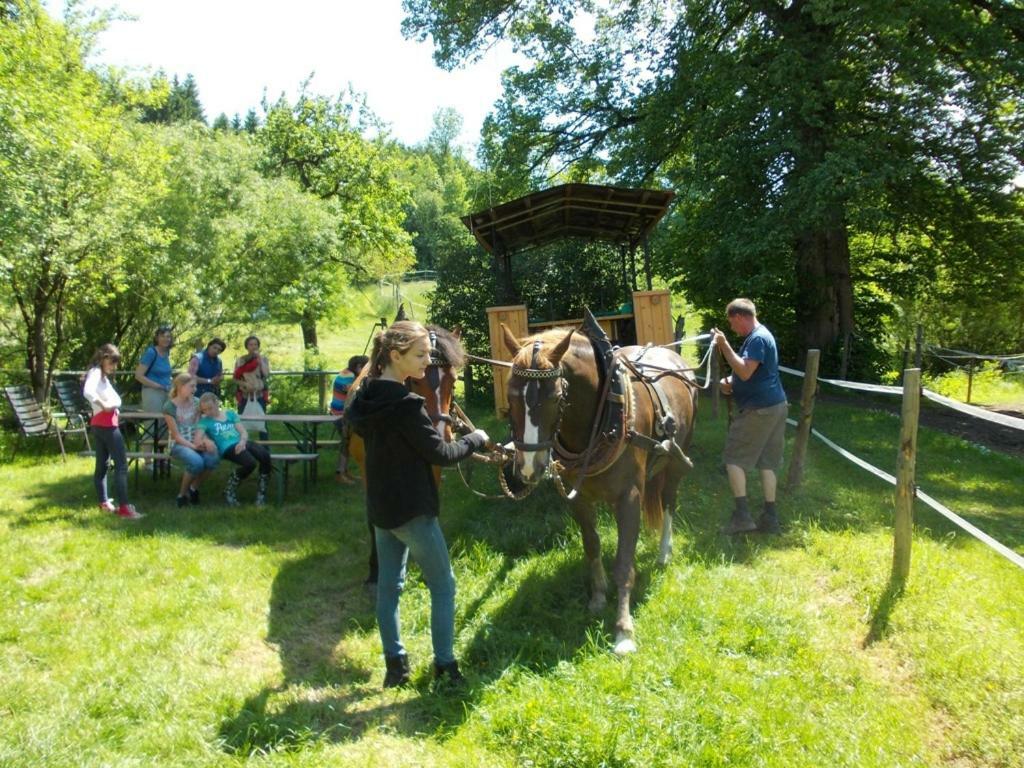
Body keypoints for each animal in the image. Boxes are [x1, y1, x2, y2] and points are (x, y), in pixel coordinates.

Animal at [501, 325, 700, 655]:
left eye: (557, 397)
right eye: (510, 395)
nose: (529, 467)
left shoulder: (629, 498)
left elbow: (623, 562)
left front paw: (623, 630)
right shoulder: (579, 498)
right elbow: (592, 545)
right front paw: (597, 597)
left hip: (676, 459)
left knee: (669, 501)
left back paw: (663, 552)